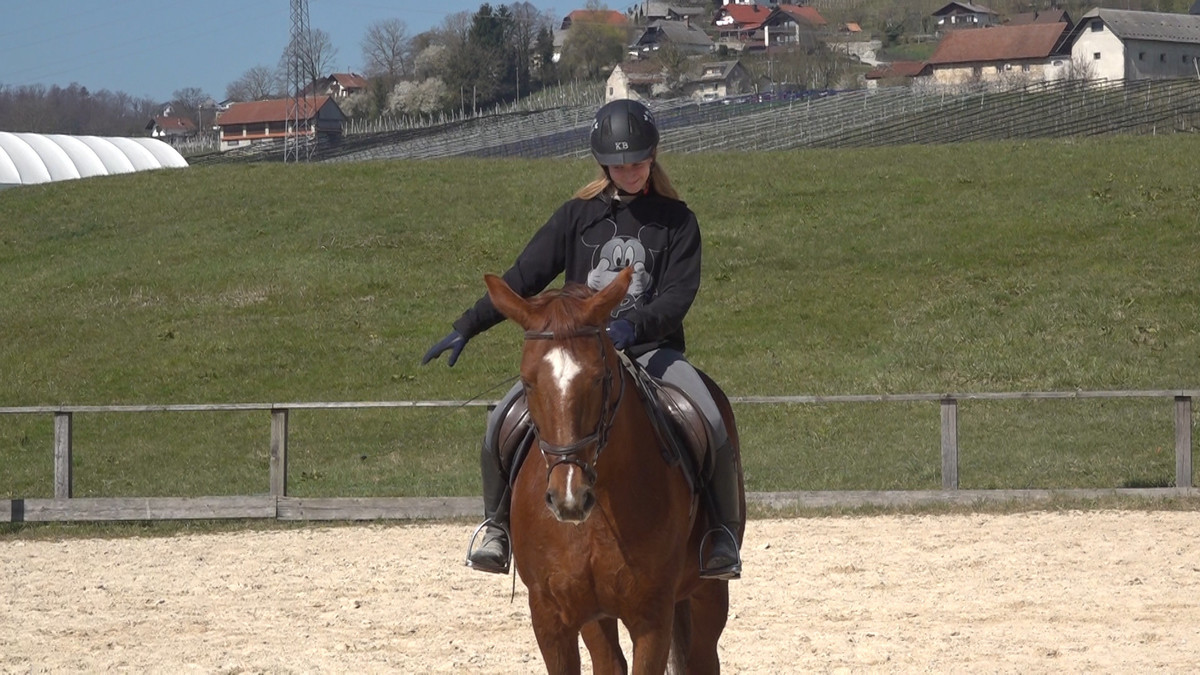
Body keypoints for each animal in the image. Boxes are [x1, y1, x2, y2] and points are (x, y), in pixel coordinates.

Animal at [480, 265, 739, 667]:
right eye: (527, 381)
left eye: (599, 379)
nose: (568, 499)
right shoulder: (552, 616)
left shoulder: (652, 616)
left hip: (706, 594)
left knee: (702, 655)